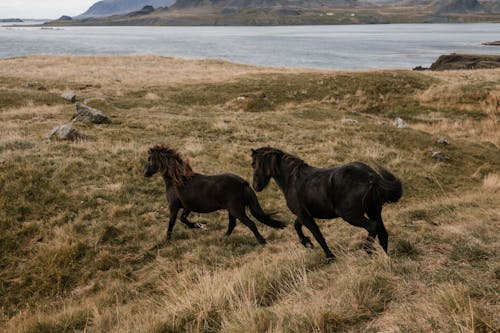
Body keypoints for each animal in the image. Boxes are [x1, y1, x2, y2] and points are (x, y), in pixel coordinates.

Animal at [145, 144, 286, 243]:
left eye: (149, 159)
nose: (145, 173)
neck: (177, 181)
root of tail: (243, 183)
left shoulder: (174, 206)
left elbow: (172, 222)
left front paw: (167, 240)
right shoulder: (187, 207)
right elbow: (183, 219)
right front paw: (198, 225)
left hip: (236, 210)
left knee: (249, 223)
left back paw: (262, 241)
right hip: (232, 210)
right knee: (232, 224)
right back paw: (223, 238)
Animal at [250, 147, 402, 260]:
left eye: (254, 164)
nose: (255, 186)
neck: (291, 180)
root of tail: (372, 177)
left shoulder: (304, 215)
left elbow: (318, 235)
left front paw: (330, 256)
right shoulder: (304, 214)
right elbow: (296, 225)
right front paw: (307, 243)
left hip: (352, 216)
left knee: (373, 227)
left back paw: (368, 251)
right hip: (373, 211)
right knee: (383, 233)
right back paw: (384, 257)